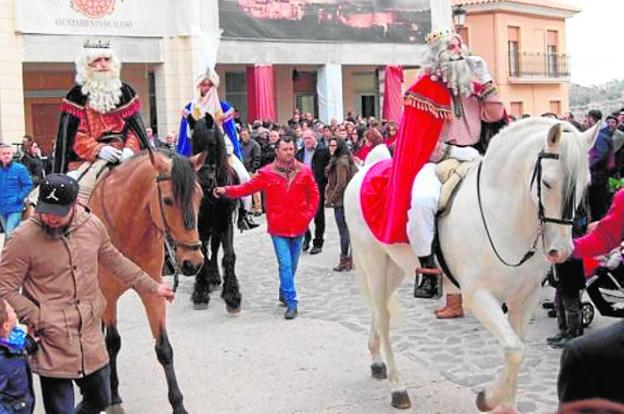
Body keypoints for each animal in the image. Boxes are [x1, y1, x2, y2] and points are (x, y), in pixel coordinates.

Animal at [89, 150, 205, 414]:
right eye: (168, 200)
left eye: (200, 197)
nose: (192, 262)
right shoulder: (108, 295)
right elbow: (112, 343)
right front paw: (114, 395)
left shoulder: (153, 291)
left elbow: (164, 349)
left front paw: (178, 405)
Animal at [188, 115, 241, 310]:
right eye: (193, 143)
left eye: (212, 143)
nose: (204, 180)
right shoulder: (200, 225)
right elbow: (203, 255)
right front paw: (200, 292)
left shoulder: (225, 223)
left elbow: (228, 255)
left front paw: (232, 294)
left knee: (216, 247)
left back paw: (216, 277)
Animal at [344, 118, 596, 412]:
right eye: (547, 182)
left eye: (586, 183)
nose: (561, 250)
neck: (502, 214)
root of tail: (366, 169)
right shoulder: (478, 296)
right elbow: (515, 350)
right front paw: (487, 398)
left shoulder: (525, 298)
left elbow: (517, 349)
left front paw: (505, 404)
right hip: (372, 260)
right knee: (383, 318)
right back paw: (398, 387)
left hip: (393, 267)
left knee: (379, 307)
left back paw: (377, 361)